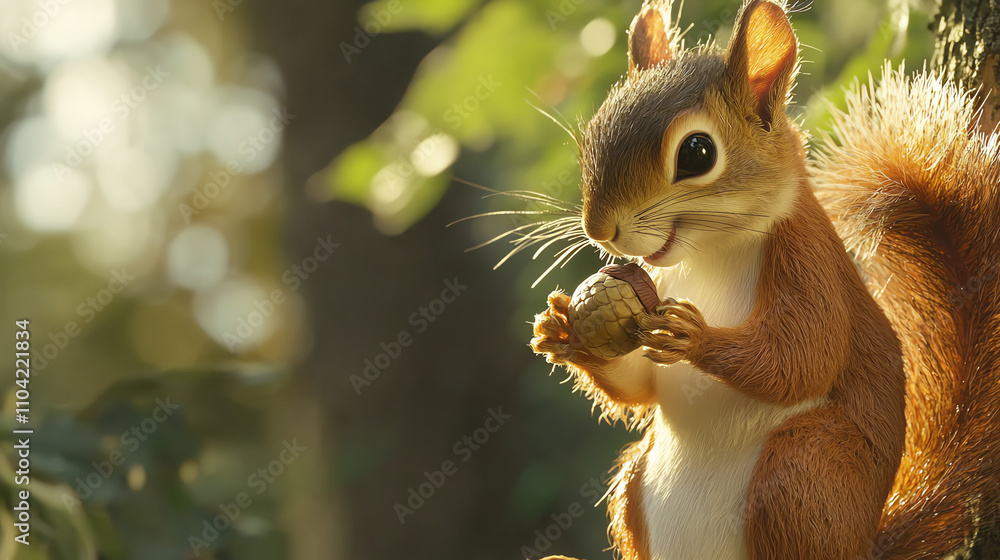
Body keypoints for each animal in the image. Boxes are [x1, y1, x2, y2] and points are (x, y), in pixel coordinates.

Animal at [527, 0, 1000, 559]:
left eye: (697, 153)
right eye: (594, 133)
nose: (598, 229)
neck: (707, 255)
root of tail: (866, 546)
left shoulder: (810, 263)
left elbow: (803, 356)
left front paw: (694, 336)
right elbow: (639, 386)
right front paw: (563, 330)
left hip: (805, 472)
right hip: (634, 477)